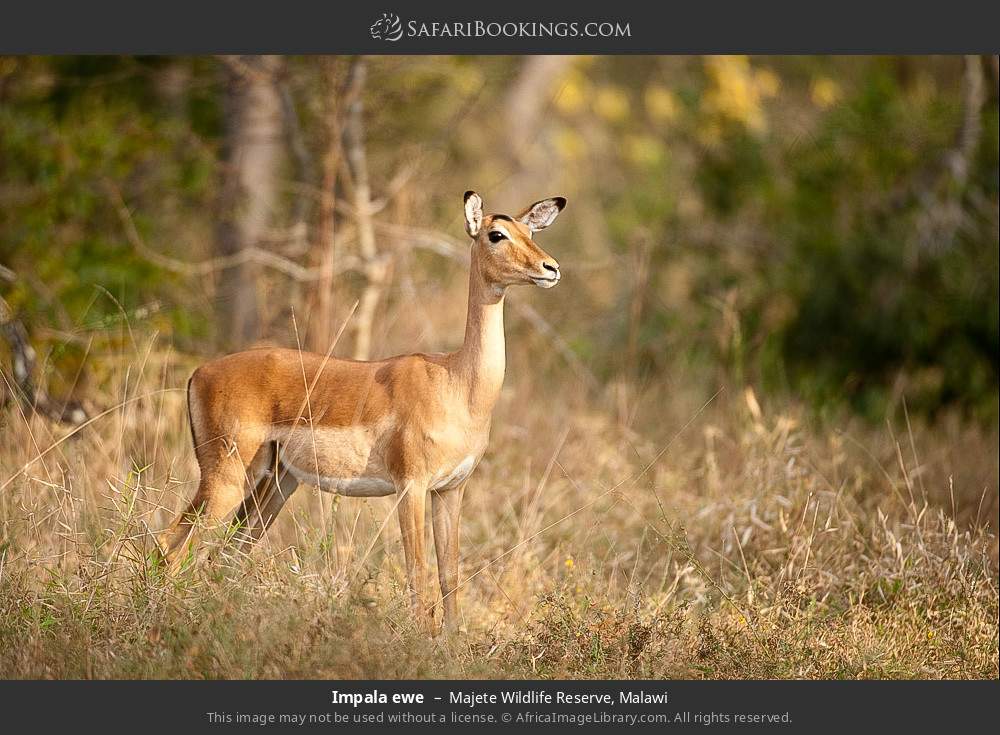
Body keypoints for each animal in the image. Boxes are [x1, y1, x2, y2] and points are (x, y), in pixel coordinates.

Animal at [158, 191, 566, 630]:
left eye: (530, 232)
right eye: (496, 234)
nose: (551, 268)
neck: (457, 383)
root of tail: (199, 373)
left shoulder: (451, 489)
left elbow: (450, 574)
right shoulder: (410, 486)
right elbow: (417, 571)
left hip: (276, 483)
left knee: (226, 555)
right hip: (226, 479)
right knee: (172, 543)